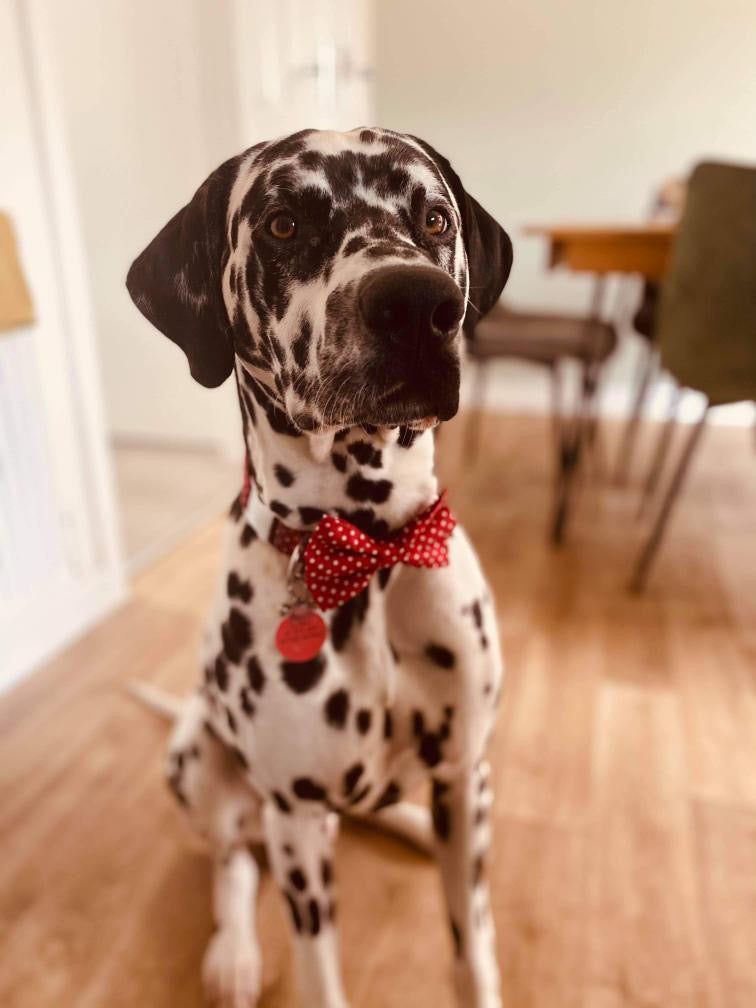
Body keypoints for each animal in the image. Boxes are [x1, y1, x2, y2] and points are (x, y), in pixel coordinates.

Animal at [126, 128, 516, 1008]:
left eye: (434, 217)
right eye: (283, 225)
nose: (417, 304)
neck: (371, 550)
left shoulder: (465, 776)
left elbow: (472, 949)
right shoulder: (298, 819)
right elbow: (317, 968)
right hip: (200, 764)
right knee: (233, 861)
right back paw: (234, 953)